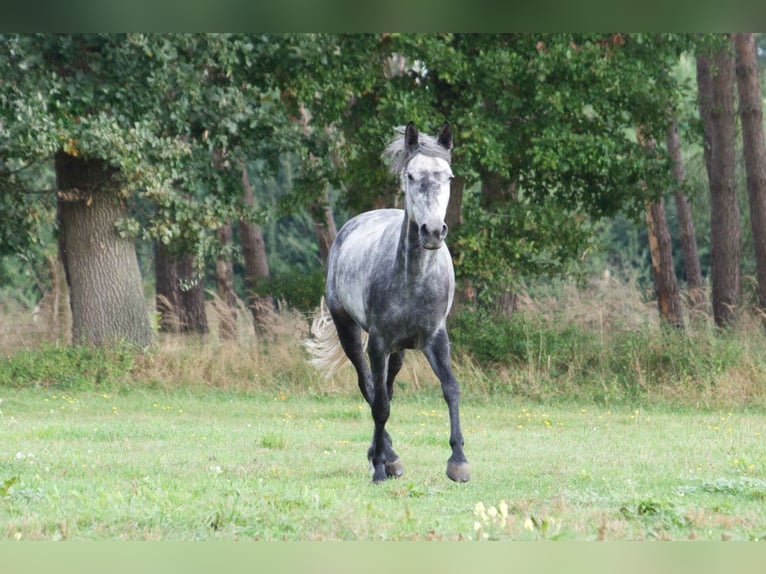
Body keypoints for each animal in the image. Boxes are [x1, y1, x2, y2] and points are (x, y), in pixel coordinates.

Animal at [308, 121, 472, 486]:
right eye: (410, 175)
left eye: (449, 176)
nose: (432, 231)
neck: (414, 280)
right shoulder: (379, 342)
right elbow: (379, 404)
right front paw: (382, 467)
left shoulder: (436, 338)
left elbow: (451, 389)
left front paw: (458, 462)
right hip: (350, 331)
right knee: (370, 388)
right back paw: (386, 457)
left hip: (399, 350)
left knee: (387, 387)